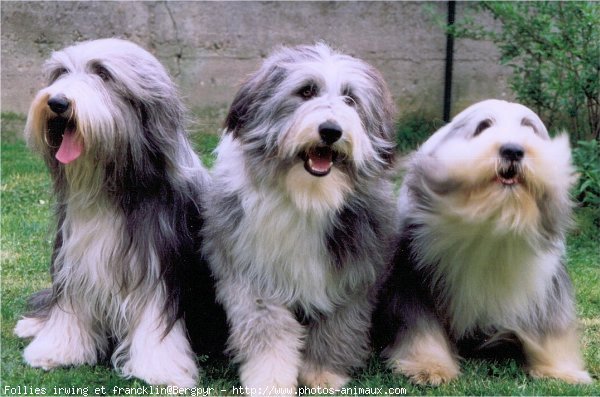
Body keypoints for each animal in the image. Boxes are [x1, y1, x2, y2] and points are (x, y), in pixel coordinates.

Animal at [16, 38, 229, 386]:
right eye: (61, 73)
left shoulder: (158, 266)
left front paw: (160, 368)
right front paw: (57, 350)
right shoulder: (73, 256)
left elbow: (155, 319)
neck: (108, 191)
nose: (58, 102)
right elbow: (69, 305)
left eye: (103, 74)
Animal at [204, 43, 400, 390]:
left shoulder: (350, 275)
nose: (331, 130)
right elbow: (268, 330)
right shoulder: (253, 271)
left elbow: (337, 325)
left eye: (350, 99)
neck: (309, 197)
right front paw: (269, 381)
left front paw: (323, 375)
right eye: (306, 91)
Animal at [372, 98, 592, 384]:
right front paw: (429, 367)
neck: (494, 221)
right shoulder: (415, 278)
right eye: (484, 126)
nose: (513, 150)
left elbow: (552, 330)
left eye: (529, 127)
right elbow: (421, 328)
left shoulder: (547, 284)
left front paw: (560, 370)